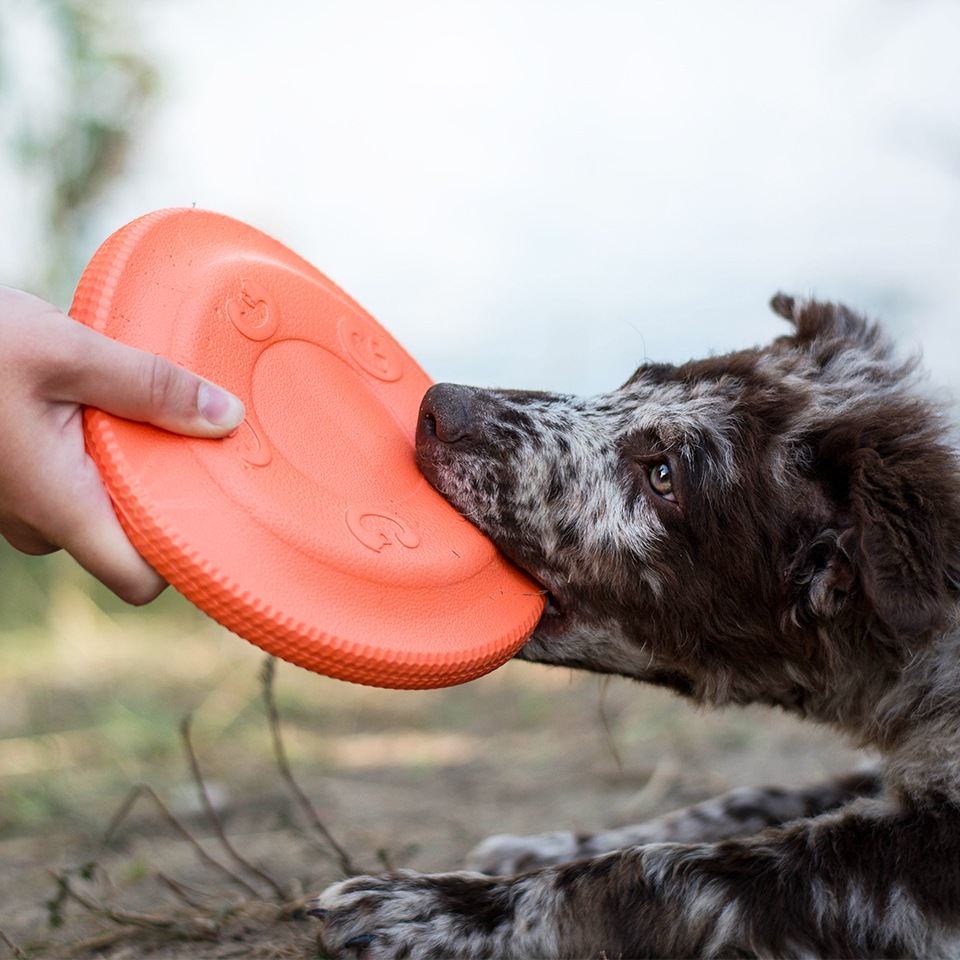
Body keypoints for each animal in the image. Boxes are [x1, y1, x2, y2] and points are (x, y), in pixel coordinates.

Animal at [312, 296, 960, 956]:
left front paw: (438, 908)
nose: (436, 406)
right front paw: (546, 845)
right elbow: (743, 801)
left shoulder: (923, 864)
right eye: (638, 380)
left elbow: (664, 873)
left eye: (664, 476)